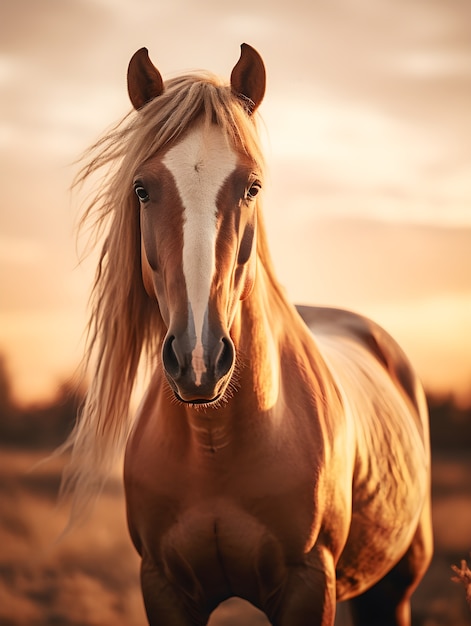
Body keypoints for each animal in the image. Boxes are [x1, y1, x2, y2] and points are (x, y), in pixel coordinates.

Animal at [61, 44, 432, 624]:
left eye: (252, 186)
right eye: (141, 189)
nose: (198, 359)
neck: (215, 443)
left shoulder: (309, 584)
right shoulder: (162, 586)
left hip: (393, 589)